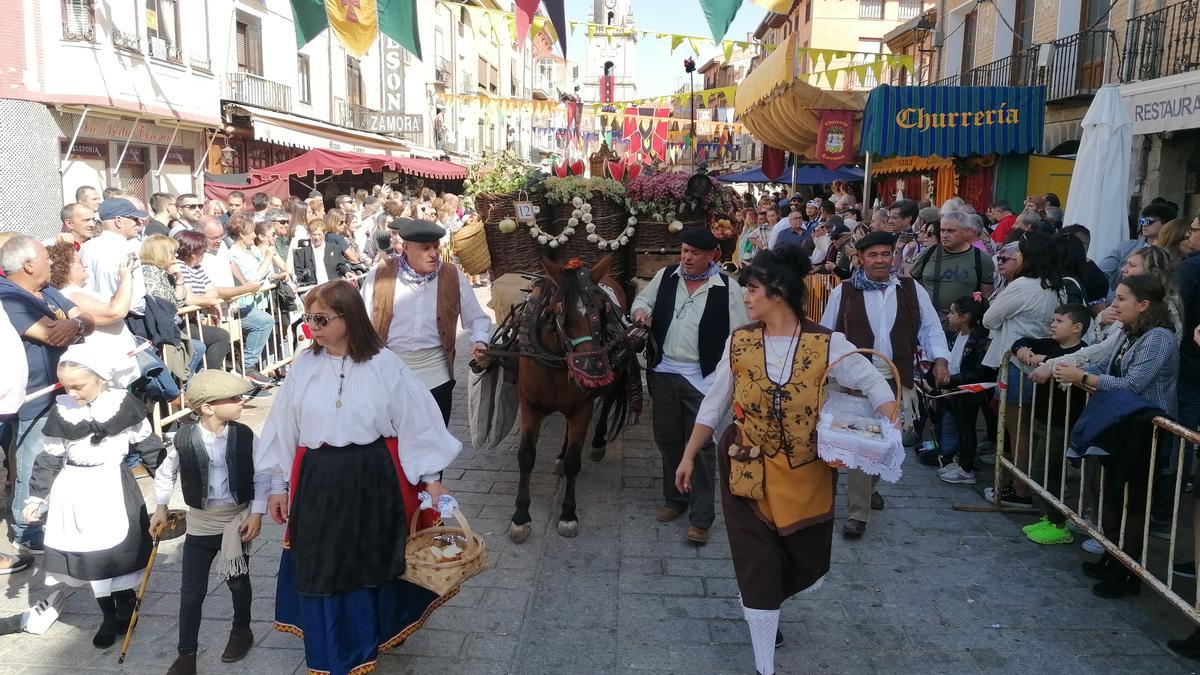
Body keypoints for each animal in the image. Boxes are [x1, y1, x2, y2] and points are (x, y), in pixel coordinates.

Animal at [504, 253, 638, 540]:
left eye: (600, 308)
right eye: (559, 311)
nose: (594, 369)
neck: (557, 362)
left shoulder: (581, 410)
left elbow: (574, 462)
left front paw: (567, 514)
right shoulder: (530, 407)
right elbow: (526, 456)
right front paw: (520, 516)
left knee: (606, 403)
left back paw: (597, 442)